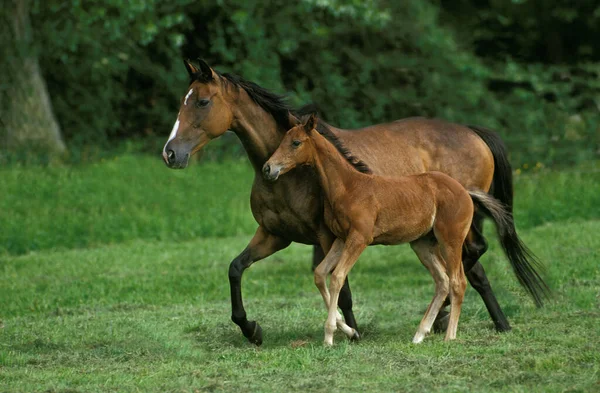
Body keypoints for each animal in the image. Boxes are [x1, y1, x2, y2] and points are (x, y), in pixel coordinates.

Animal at [264, 113, 516, 344]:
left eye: (296, 142)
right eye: (283, 139)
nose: (268, 168)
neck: (348, 186)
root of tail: (466, 191)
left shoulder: (359, 238)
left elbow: (337, 277)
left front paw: (330, 336)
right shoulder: (341, 239)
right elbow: (319, 273)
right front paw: (347, 329)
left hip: (450, 240)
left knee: (457, 282)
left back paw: (449, 336)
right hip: (422, 244)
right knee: (442, 281)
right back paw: (419, 334)